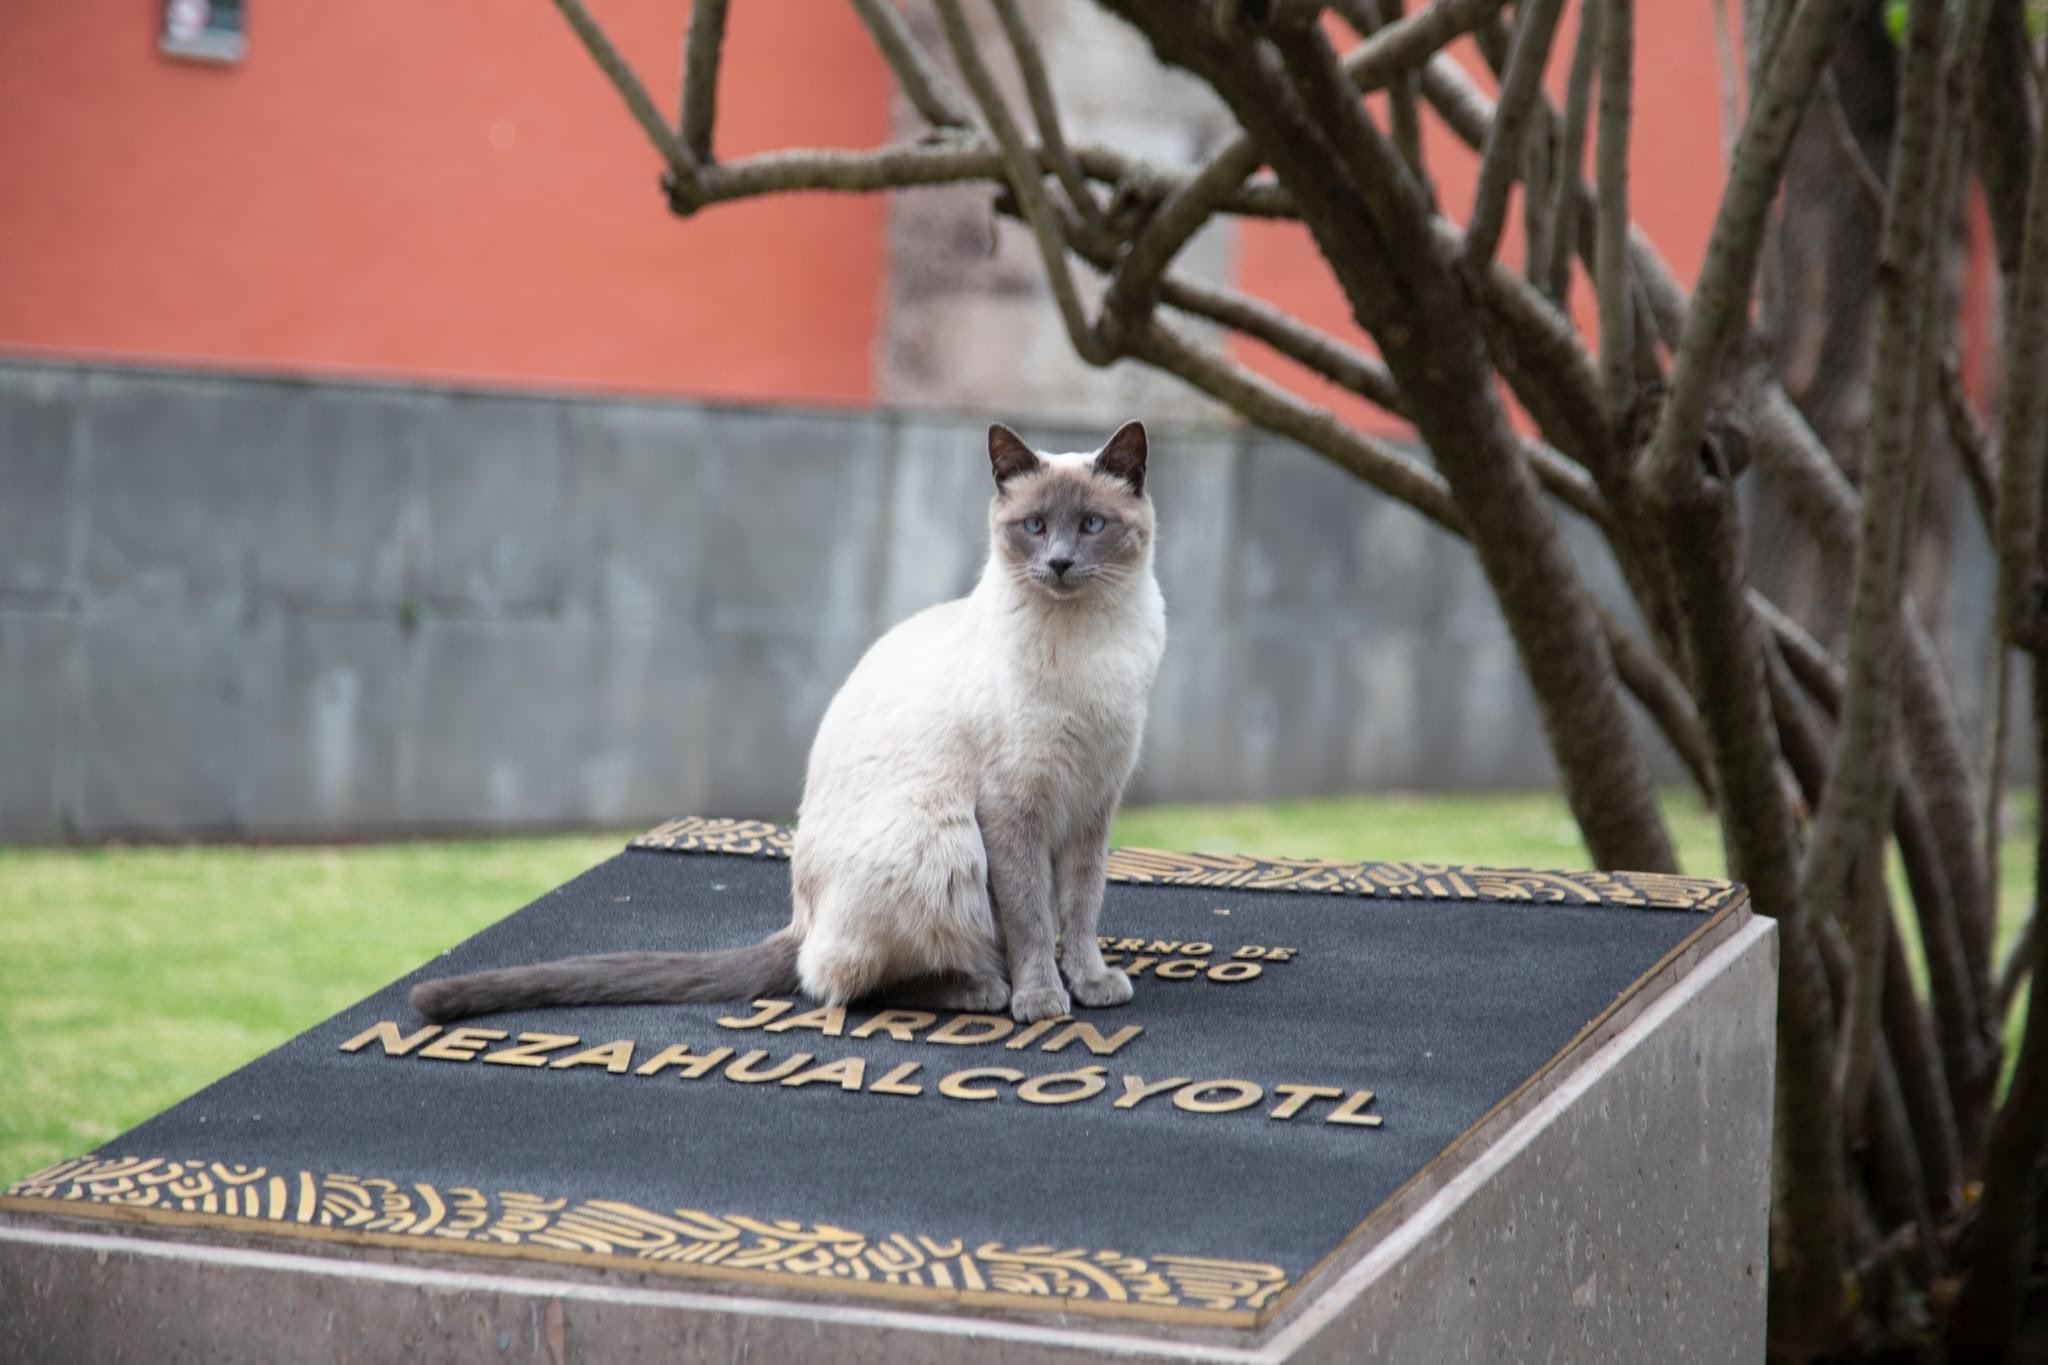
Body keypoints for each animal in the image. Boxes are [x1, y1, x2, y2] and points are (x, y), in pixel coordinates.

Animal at [407, 419, 1171, 1023]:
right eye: (1035, 527)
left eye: (1092, 525)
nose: (1060, 562)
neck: (1085, 645)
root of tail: (801, 915)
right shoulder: (1014, 809)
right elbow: (1032, 916)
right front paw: (1044, 1000)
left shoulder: (1092, 806)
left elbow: (1081, 908)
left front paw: (1091, 982)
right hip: (943, 840)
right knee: (837, 979)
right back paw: (986, 989)